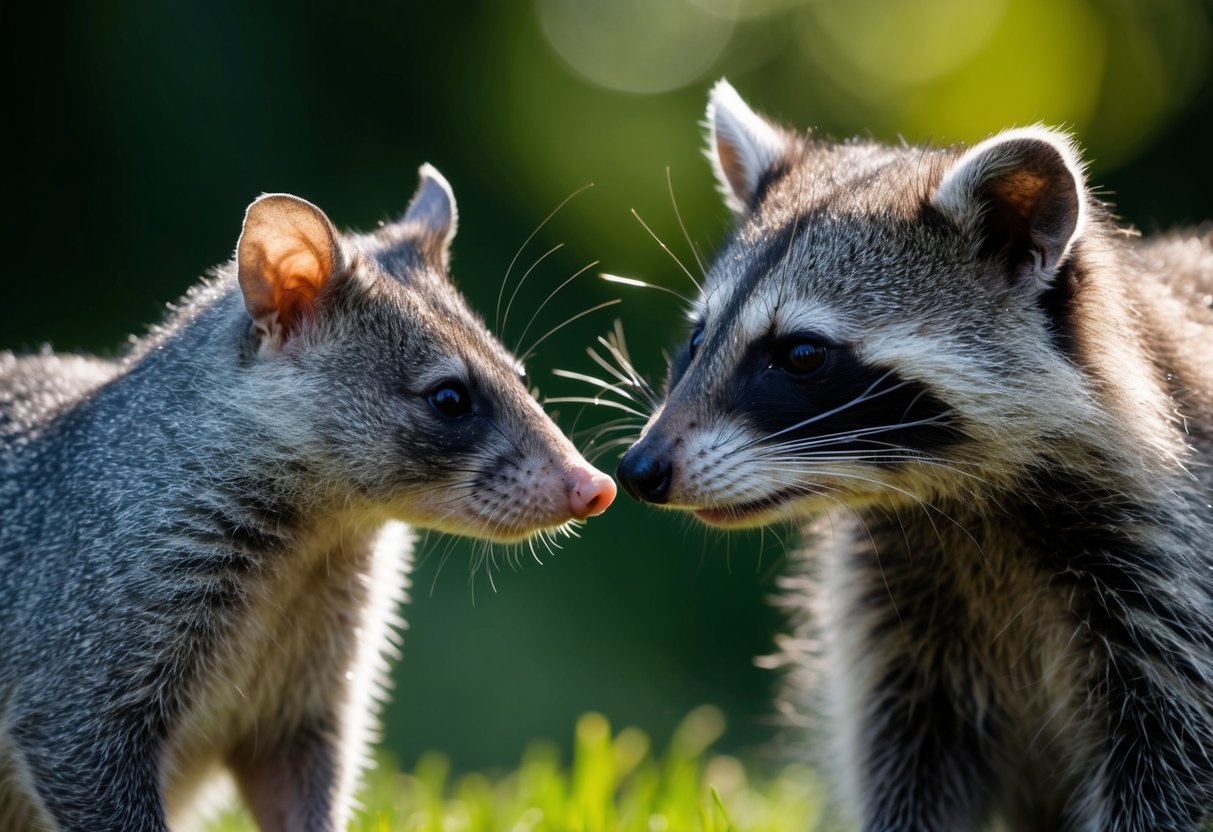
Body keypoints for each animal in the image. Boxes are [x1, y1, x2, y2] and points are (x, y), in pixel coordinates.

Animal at [0, 166, 616, 831]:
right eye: (450, 398)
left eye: (521, 376)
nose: (595, 487)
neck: (313, 549)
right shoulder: (90, 636)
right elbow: (78, 747)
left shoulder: (309, 696)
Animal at [616, 81, 1213, 831]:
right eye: (698, 340)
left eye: (801, 355)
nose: (639, 470)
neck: (960, 502)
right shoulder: (895, 617)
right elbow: (907, 763)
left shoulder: (1169, 568)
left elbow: (1167, 773)